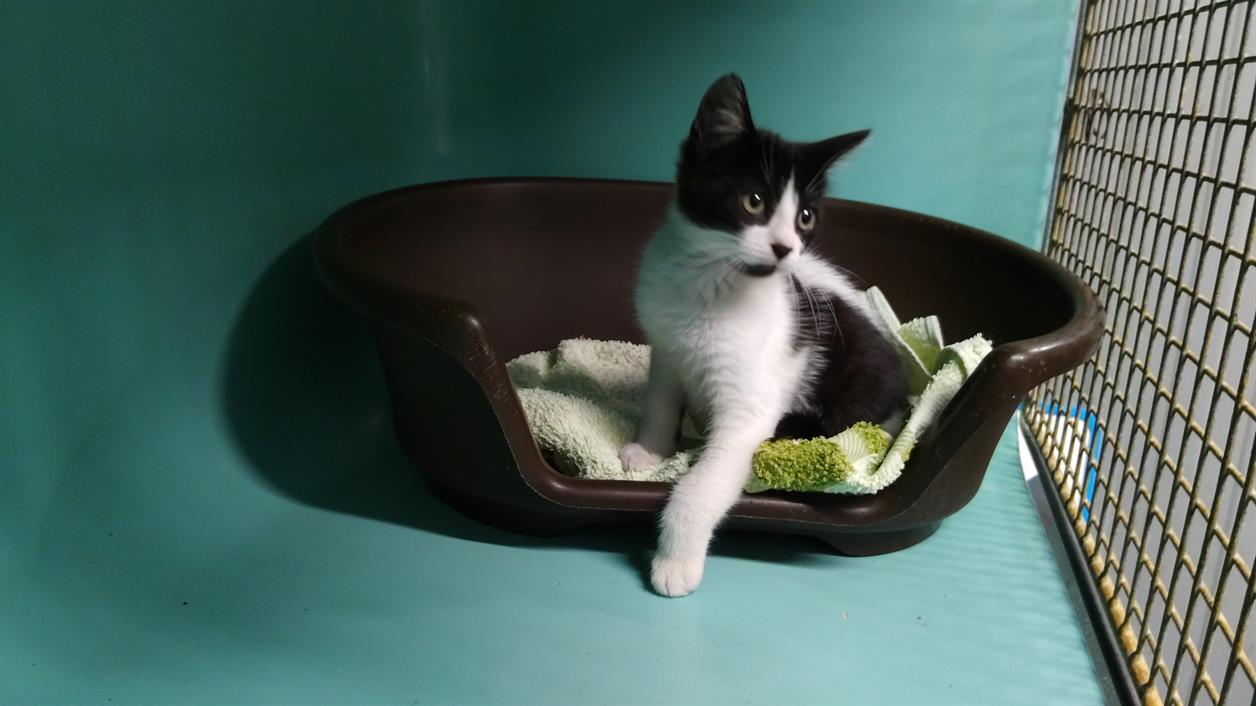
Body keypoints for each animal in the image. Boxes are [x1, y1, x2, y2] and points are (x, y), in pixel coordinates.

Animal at [620, 74, 908, 597]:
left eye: (806, 217)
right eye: (753, 201)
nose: (784, 248)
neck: (709, 283)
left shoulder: (750, 410)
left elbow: (702, 486)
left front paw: (675, 562)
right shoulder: (665, 349)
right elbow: (659, 402)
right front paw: (650, 449)